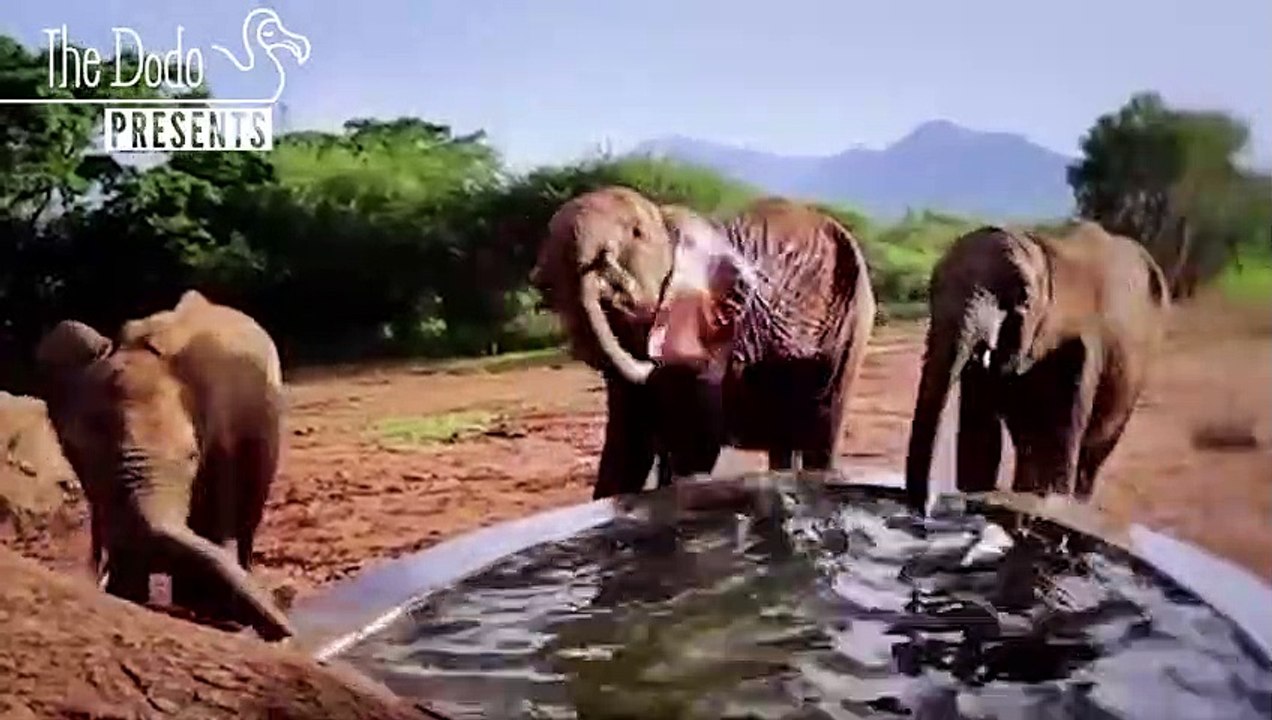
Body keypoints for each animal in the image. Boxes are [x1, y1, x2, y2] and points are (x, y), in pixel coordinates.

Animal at [903, 221, 1170, 513]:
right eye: (932, 287)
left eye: (1023, 297)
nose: (924, 509)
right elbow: (980, 428)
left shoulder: (1079, 343)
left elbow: (1058, 434)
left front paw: (1047, 502)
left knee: (1094, 450)